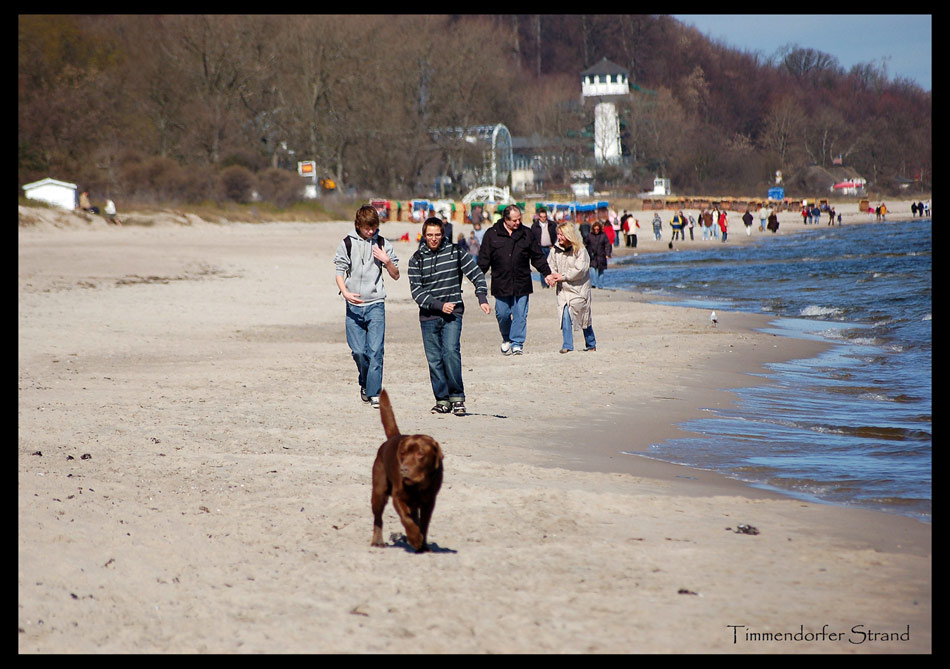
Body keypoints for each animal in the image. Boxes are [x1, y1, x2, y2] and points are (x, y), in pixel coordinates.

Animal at [374, 388, 444, 552]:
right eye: (403, 454)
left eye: (420, 454)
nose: (403, 469)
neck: (419, 484)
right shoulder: (398, 497)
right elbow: (406, 519)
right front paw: (415, 539)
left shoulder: (429, 502)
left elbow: (424, 524)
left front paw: (423, 545)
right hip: (379, 492)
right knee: (378, 519)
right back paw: (377, 541)